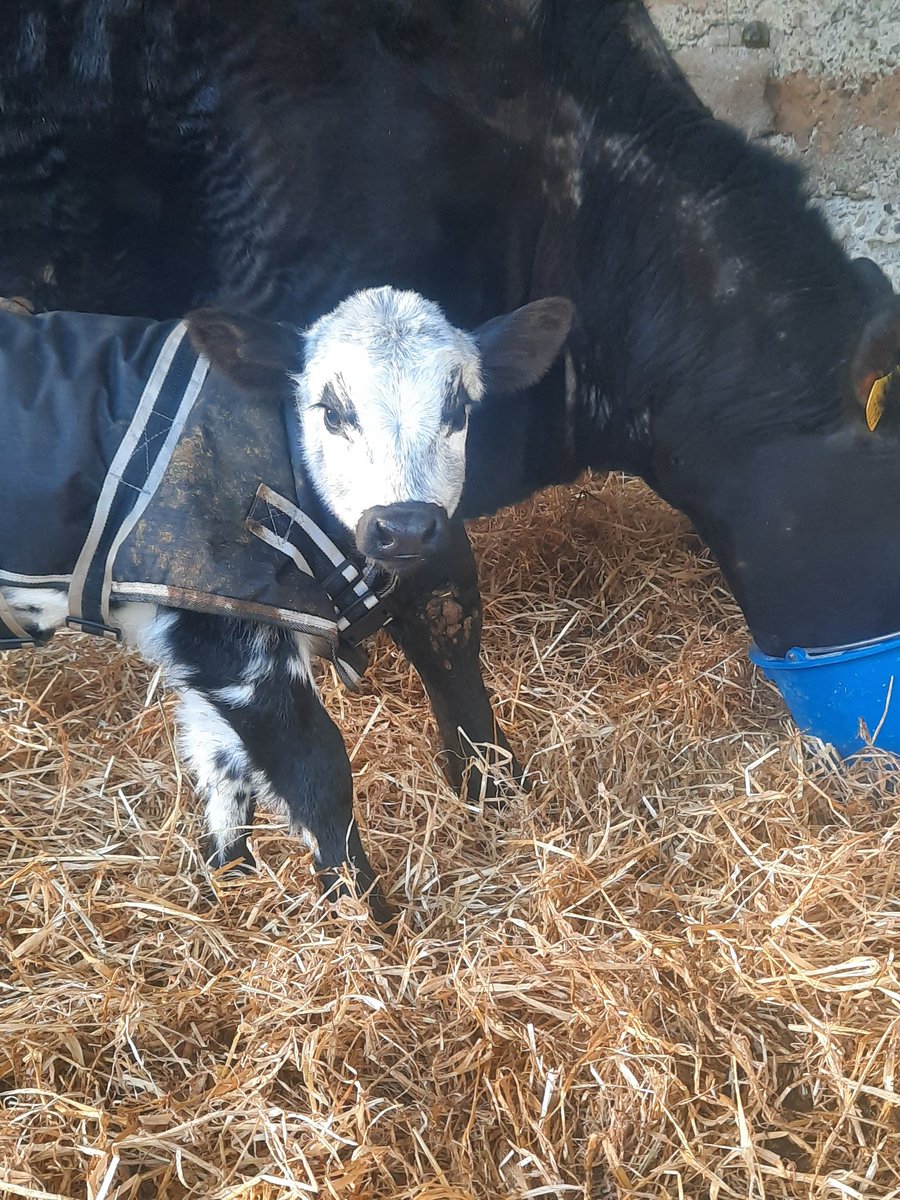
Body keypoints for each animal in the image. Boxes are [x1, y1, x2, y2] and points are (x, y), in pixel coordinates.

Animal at [0, 289, 573, 920]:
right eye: (331, 411)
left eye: (459, 409)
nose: (405, 527)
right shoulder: (225, 634)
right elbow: (313, 767)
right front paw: (360, 910)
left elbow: (224, 757)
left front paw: (228, 875)